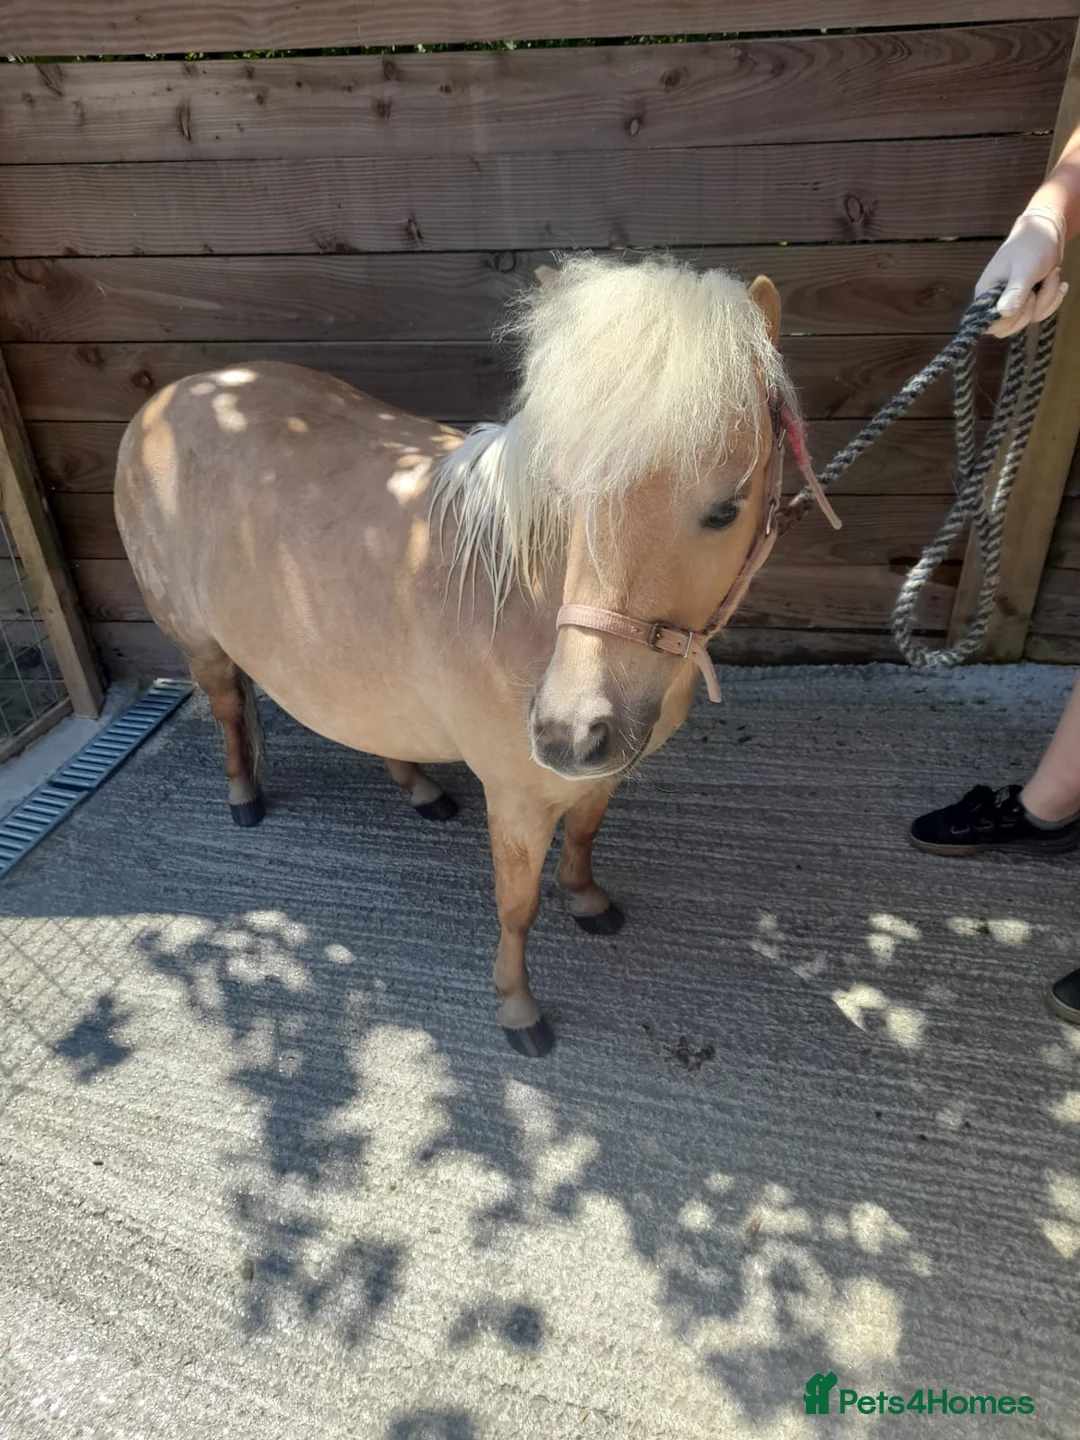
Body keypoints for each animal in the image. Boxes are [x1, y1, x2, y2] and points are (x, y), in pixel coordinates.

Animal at [115, 254, 811, 1057]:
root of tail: (170, 399)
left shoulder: (601, 773)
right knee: (229, 713)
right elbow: (517, 907)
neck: (528, 602)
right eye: (563, 494)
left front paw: (586, 899)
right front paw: (517, 1007)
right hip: (198, 643)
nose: (567, 733)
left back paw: (418, 788)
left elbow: (585, 837)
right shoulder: (516, 801)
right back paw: (244, 797)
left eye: (726, 507)